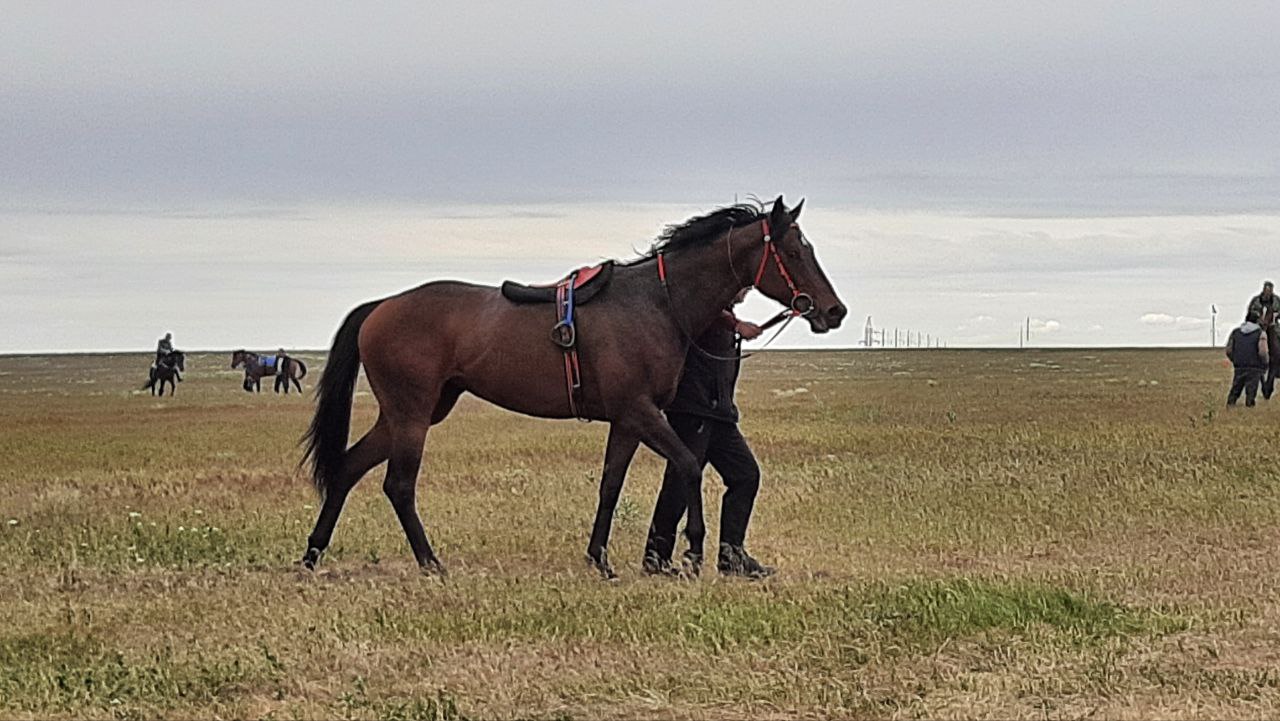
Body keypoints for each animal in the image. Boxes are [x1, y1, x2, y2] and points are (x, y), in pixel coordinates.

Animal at [294, 194, 844, 578]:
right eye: (796, 250)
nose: (834, 311)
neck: (656, 303)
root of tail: (380, 307)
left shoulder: (627, 420)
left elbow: (610, 485)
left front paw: (599, 558)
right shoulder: (641, 412)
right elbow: (689, 465)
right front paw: (691, 552)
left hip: (411, 413)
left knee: (347, 469)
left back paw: (312, 554)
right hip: (411, 414)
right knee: (398, 485)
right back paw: (430, 562)